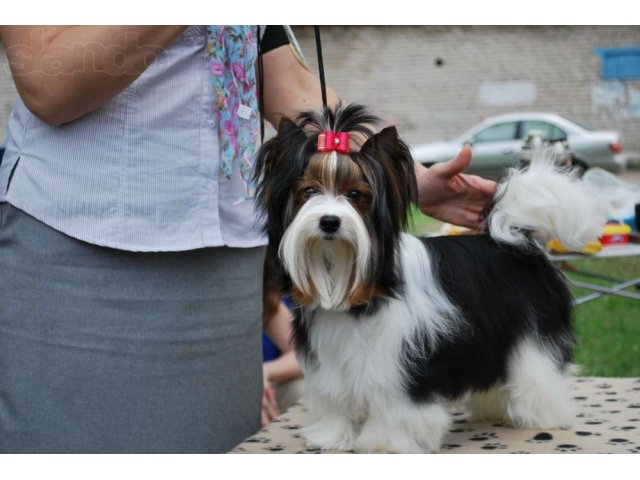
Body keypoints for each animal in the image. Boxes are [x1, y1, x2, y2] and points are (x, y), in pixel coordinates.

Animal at [251, 102, 604, 454]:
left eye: (355, 195)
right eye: (308, 191)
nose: (329, 221)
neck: (350, 280)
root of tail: (516, 238)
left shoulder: (400, 363)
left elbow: (394, 408)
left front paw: (385, 444)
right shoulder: (331, 360)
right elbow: (335, 400)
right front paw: (332, 436)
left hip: (532, 332)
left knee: (538, 369)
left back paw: (544, 416)